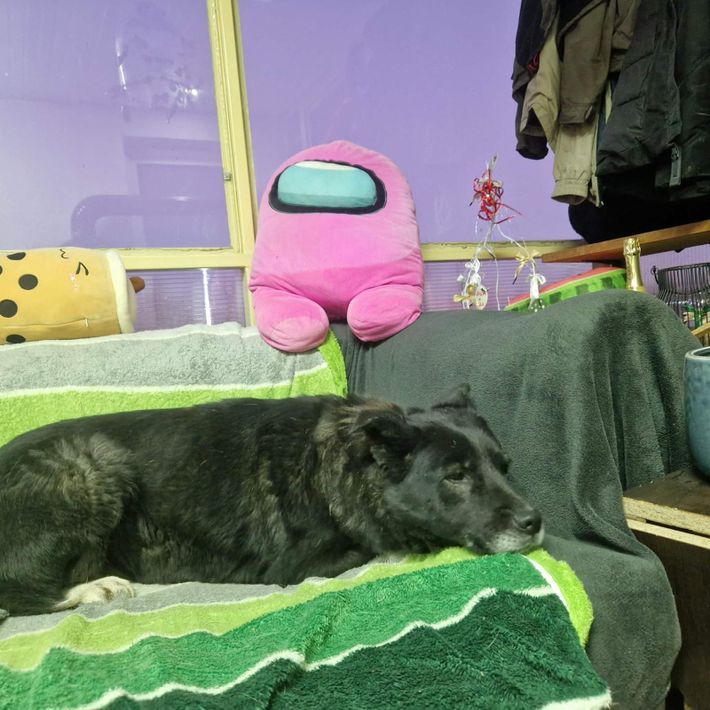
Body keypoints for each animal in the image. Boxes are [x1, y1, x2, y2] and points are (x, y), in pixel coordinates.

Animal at [0, 384, 543, 617]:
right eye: (456, 476)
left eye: (505, 466)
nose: (534, 521)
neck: (345, 463)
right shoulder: (297, 564)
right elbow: (377, 546)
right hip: (91, 464)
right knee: (18, 593)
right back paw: (96, 589)